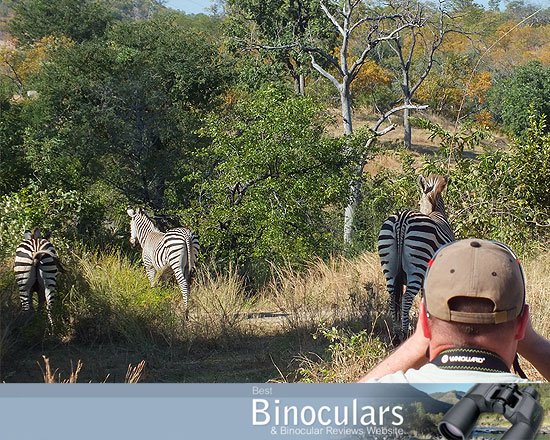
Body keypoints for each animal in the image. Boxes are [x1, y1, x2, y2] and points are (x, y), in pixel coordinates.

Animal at [380, 174, 458, 342]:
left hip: (388, 264)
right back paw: (404, 333)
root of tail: (401, 219)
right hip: (417, 264)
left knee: (393, 298)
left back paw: (396, 335)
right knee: (406, 298)